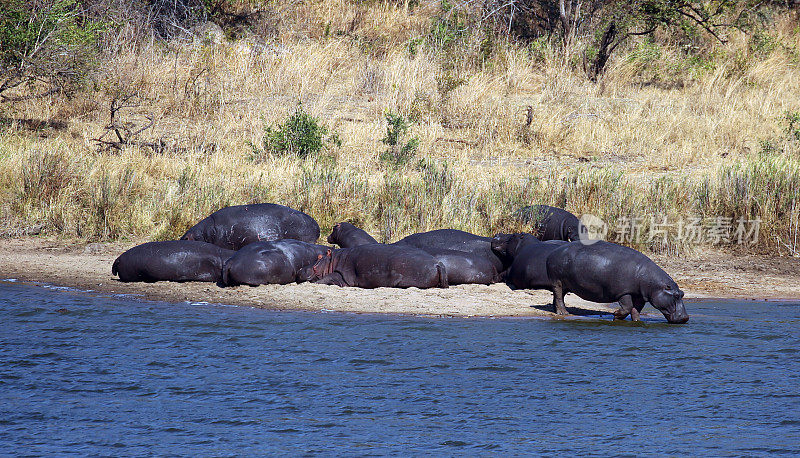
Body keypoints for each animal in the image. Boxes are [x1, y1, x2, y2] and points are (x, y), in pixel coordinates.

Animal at [302, 245, 450, 288]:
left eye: (319, 257)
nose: (301, 269)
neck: (334, 259)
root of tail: (438, 263)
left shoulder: (343, 276)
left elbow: (327, 278)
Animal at [548, 242, 692, 324]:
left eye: (682, 293)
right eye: (676, 296)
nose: (685, 318)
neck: (654, 284)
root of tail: (553, 252)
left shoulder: (640, 296)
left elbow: (636, 310)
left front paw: (637, 321)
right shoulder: (624, 292)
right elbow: (627, 307)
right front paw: (616, 316)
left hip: (566, 284)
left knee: (558, 296)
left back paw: (557, 311)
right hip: (557, 281)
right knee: (558, 295)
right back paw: (563, 313)